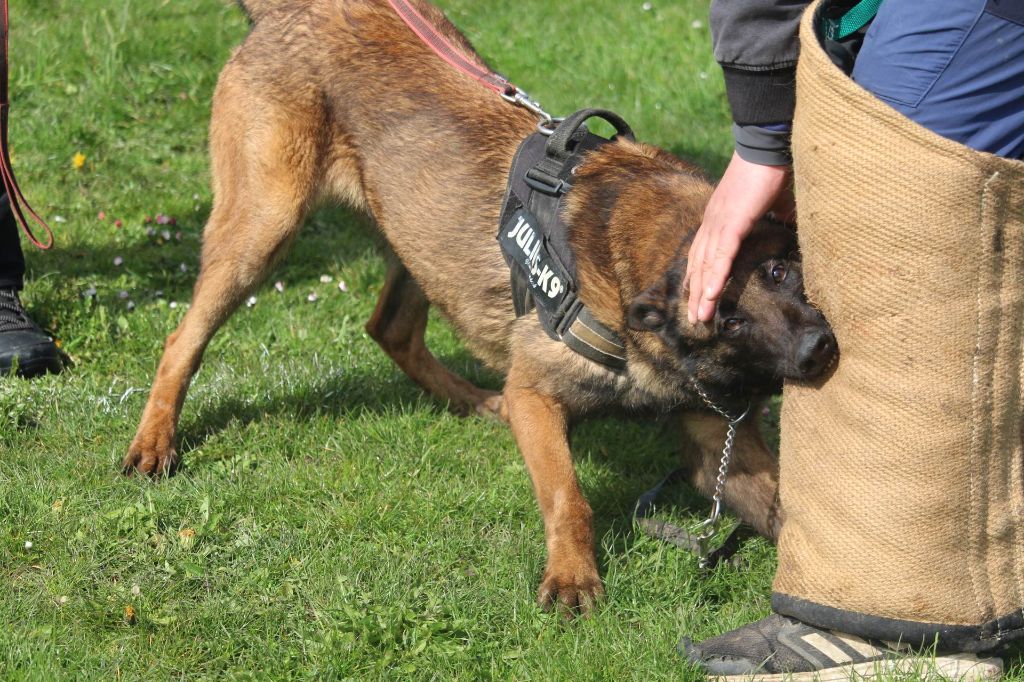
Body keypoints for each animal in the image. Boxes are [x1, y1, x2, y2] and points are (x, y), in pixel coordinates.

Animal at [123, 0, 835, 610]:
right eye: (728, 318)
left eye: (780, 271)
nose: (820, 350)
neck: (626, 248)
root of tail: (290, 10)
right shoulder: (538, 397)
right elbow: (568, 496)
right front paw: (572, 577)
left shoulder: (717, 443)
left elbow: (788, 509)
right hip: (264, 228)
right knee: (182, 338)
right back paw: (154, 441)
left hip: (420, 238)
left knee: (390, 329)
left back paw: (472, 402)